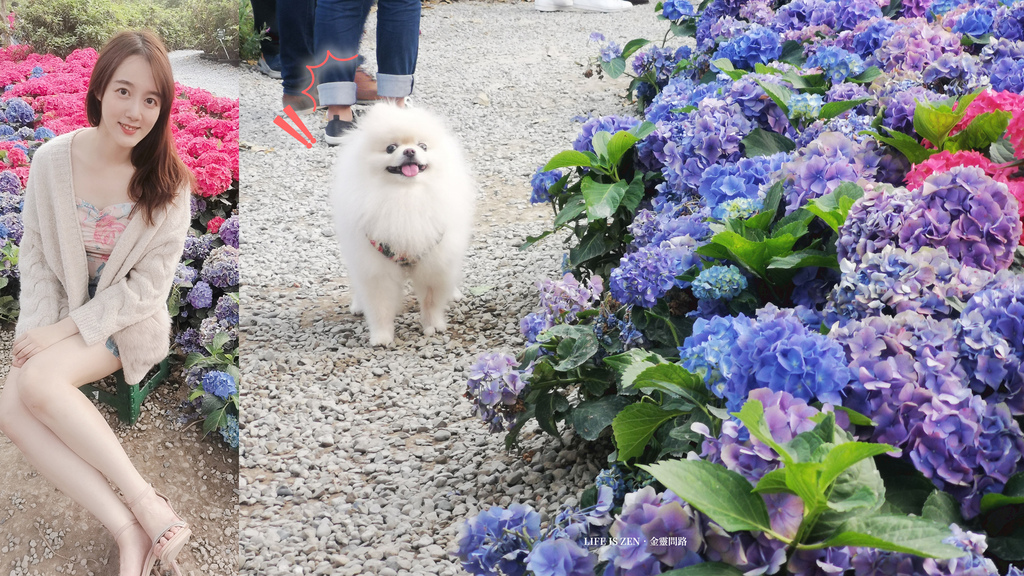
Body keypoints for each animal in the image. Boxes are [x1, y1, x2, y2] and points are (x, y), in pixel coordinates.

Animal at [327, 105, 475, 342]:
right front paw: (381, 337)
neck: (405, 196)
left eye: (423, 146)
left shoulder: (434, 264)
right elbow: (380, 308)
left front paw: (433, 325)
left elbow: (431, 301)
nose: (410, 151)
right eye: (390, 148)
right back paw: (358, 304)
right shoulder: (376, 269)